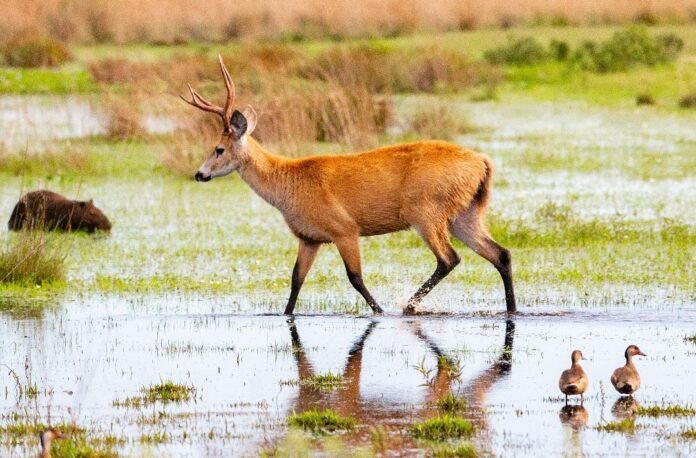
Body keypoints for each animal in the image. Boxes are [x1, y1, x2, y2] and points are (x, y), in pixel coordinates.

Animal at [182, 56, 516, 315]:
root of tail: (481, 161)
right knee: (500, 254)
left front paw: (379, 311)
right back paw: (511, 308)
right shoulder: (309, 238)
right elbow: (296, 280)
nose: (199, 174)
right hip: (464, 215)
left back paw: (408, 307)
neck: (288, 181)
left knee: (449, 258)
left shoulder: (345, 230)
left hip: (425, 214)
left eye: (218, 149)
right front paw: (285, 314)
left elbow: (355, 277)